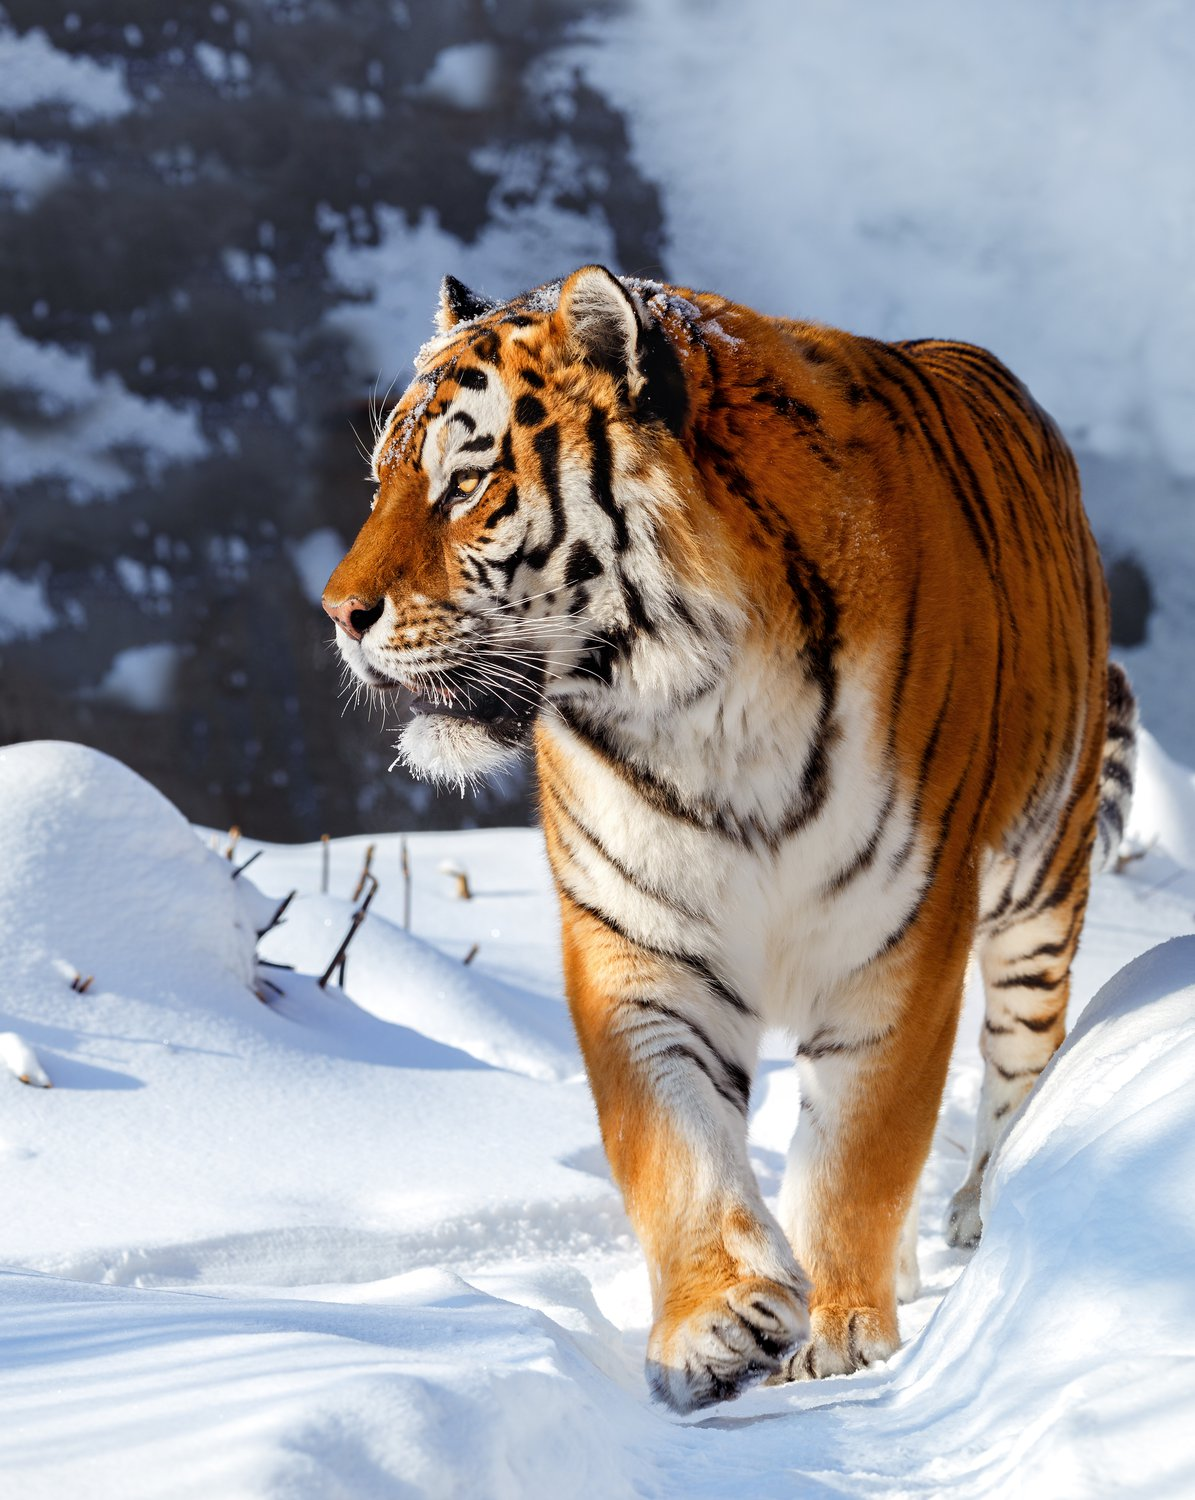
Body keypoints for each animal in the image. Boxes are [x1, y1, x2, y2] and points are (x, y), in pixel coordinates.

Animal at [322, 267, 1133, 1404]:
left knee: (1017, 1067)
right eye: (380, 484)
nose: (337, 612)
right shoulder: (637, 944)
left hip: (1037, 897)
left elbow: (859, 1152)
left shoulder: (897, 941)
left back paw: (985, 1209)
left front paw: (841, 1330)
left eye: (465, 484)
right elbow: (672, 1147)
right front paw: (717, 1320)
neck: (700, 704)